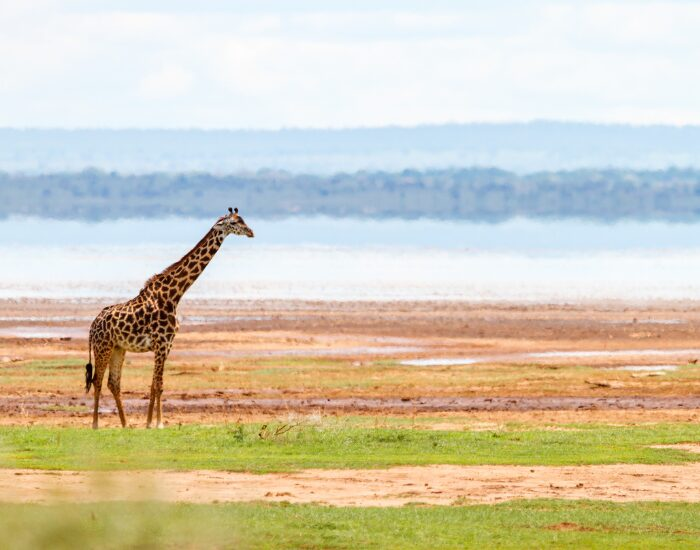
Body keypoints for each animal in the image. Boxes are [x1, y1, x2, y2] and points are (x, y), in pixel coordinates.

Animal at [85, 207, 254, 429]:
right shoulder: (161, 343)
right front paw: (157, 423)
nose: (251, 232)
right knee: (97, 380)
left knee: (113, 383)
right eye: (234, 222)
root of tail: (92, 325)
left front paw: (151, 423)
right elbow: (158, 384)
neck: (173, 296)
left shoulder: (167, 345)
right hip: (102, 347)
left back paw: (125, 424)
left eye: (242, 219)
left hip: (118, 348)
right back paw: (96, 424)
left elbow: (156, 384)